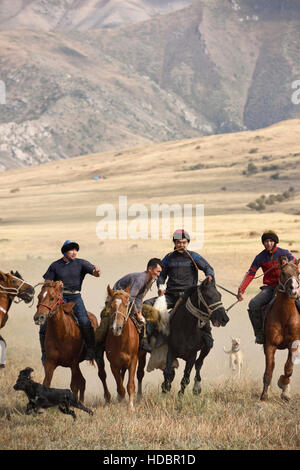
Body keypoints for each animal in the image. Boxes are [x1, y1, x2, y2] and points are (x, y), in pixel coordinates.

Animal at [260, 258, 300, 400]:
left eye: (298, 272)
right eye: (283, 272)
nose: (294, 291)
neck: (285, 316)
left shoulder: (294, 345)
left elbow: (288, 369)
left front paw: (284, 387)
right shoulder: (270, 345)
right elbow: (268, 370)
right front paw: (264, 395)